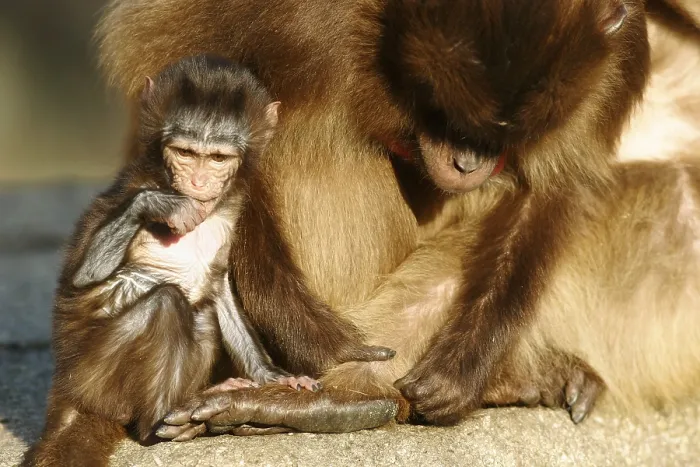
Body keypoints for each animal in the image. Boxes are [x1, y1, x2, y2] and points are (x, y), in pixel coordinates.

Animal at [23, 0, 700, 465]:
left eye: (501, 134)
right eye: (450, 115)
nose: (469, 161)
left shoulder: (609, 56)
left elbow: (554, 185)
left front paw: (461, 373)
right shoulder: (306, 18)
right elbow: (171, 54)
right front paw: (318, 344)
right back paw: (333, 398)